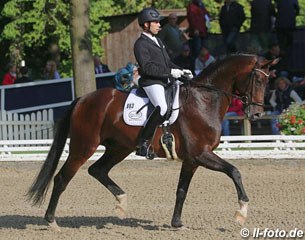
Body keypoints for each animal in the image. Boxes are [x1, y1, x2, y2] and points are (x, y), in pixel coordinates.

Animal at [26, 53, 278, 230]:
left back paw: (121, 203)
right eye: (257, 80)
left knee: (97, 170)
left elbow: (181, 190)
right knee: (62, 178)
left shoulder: (192, 159)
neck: (204, 100)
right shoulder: (201, 154)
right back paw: (51, 221)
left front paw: (177, 224)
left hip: (119, 148)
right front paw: (241, 212)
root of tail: (83, 99)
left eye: (268, 82)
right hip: (83, 147)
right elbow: (234, 171)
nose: (257, 115)